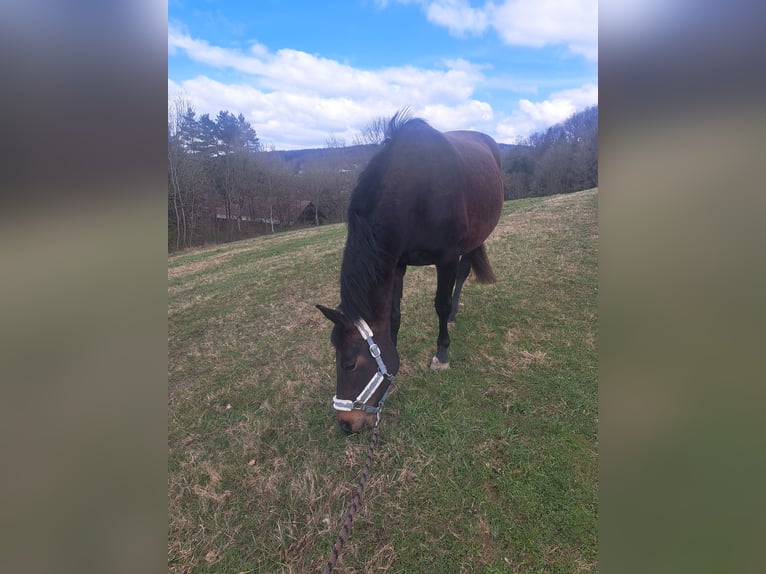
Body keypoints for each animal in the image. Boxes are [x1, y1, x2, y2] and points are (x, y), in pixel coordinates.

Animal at [317, 111, 504, 433]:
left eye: (350, 363)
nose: (346, 424)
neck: (416, 189)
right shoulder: (397, 264)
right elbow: (393, 316)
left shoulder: (446, 258)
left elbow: (440, 304)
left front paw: (441, 355)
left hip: (473, 241)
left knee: (463, 273)